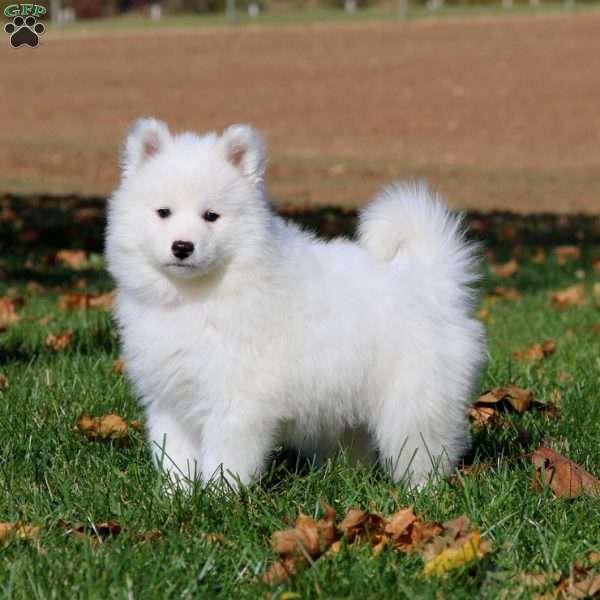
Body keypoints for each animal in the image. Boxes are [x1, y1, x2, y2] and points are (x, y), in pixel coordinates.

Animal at [105, 119, 486, 490]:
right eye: (163, 212)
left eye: (211, 216)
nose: (182, 247)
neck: (196, 296)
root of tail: (429, 279)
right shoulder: (171, 400)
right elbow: (175, 456)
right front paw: (178, 496)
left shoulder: (235, 402)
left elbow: (226, 459)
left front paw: (218, 497)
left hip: (414, 401)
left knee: (424, 451)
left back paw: (422, 492)